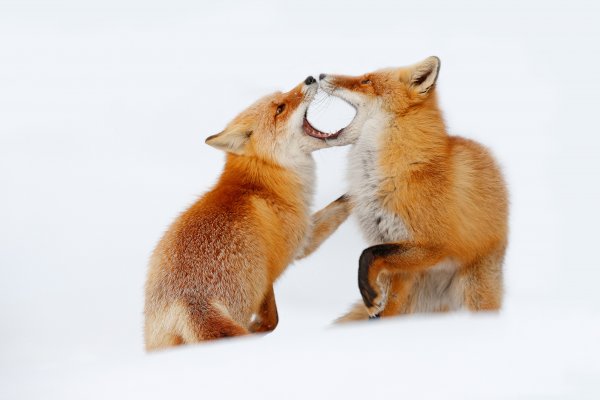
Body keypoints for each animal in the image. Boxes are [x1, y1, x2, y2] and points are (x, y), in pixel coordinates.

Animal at [145, 77, 350, 350]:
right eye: (280, 109)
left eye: (282, 95)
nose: (309, 78)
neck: (263, 183)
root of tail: (188, 302)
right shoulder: (286, 255)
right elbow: (271, 320)